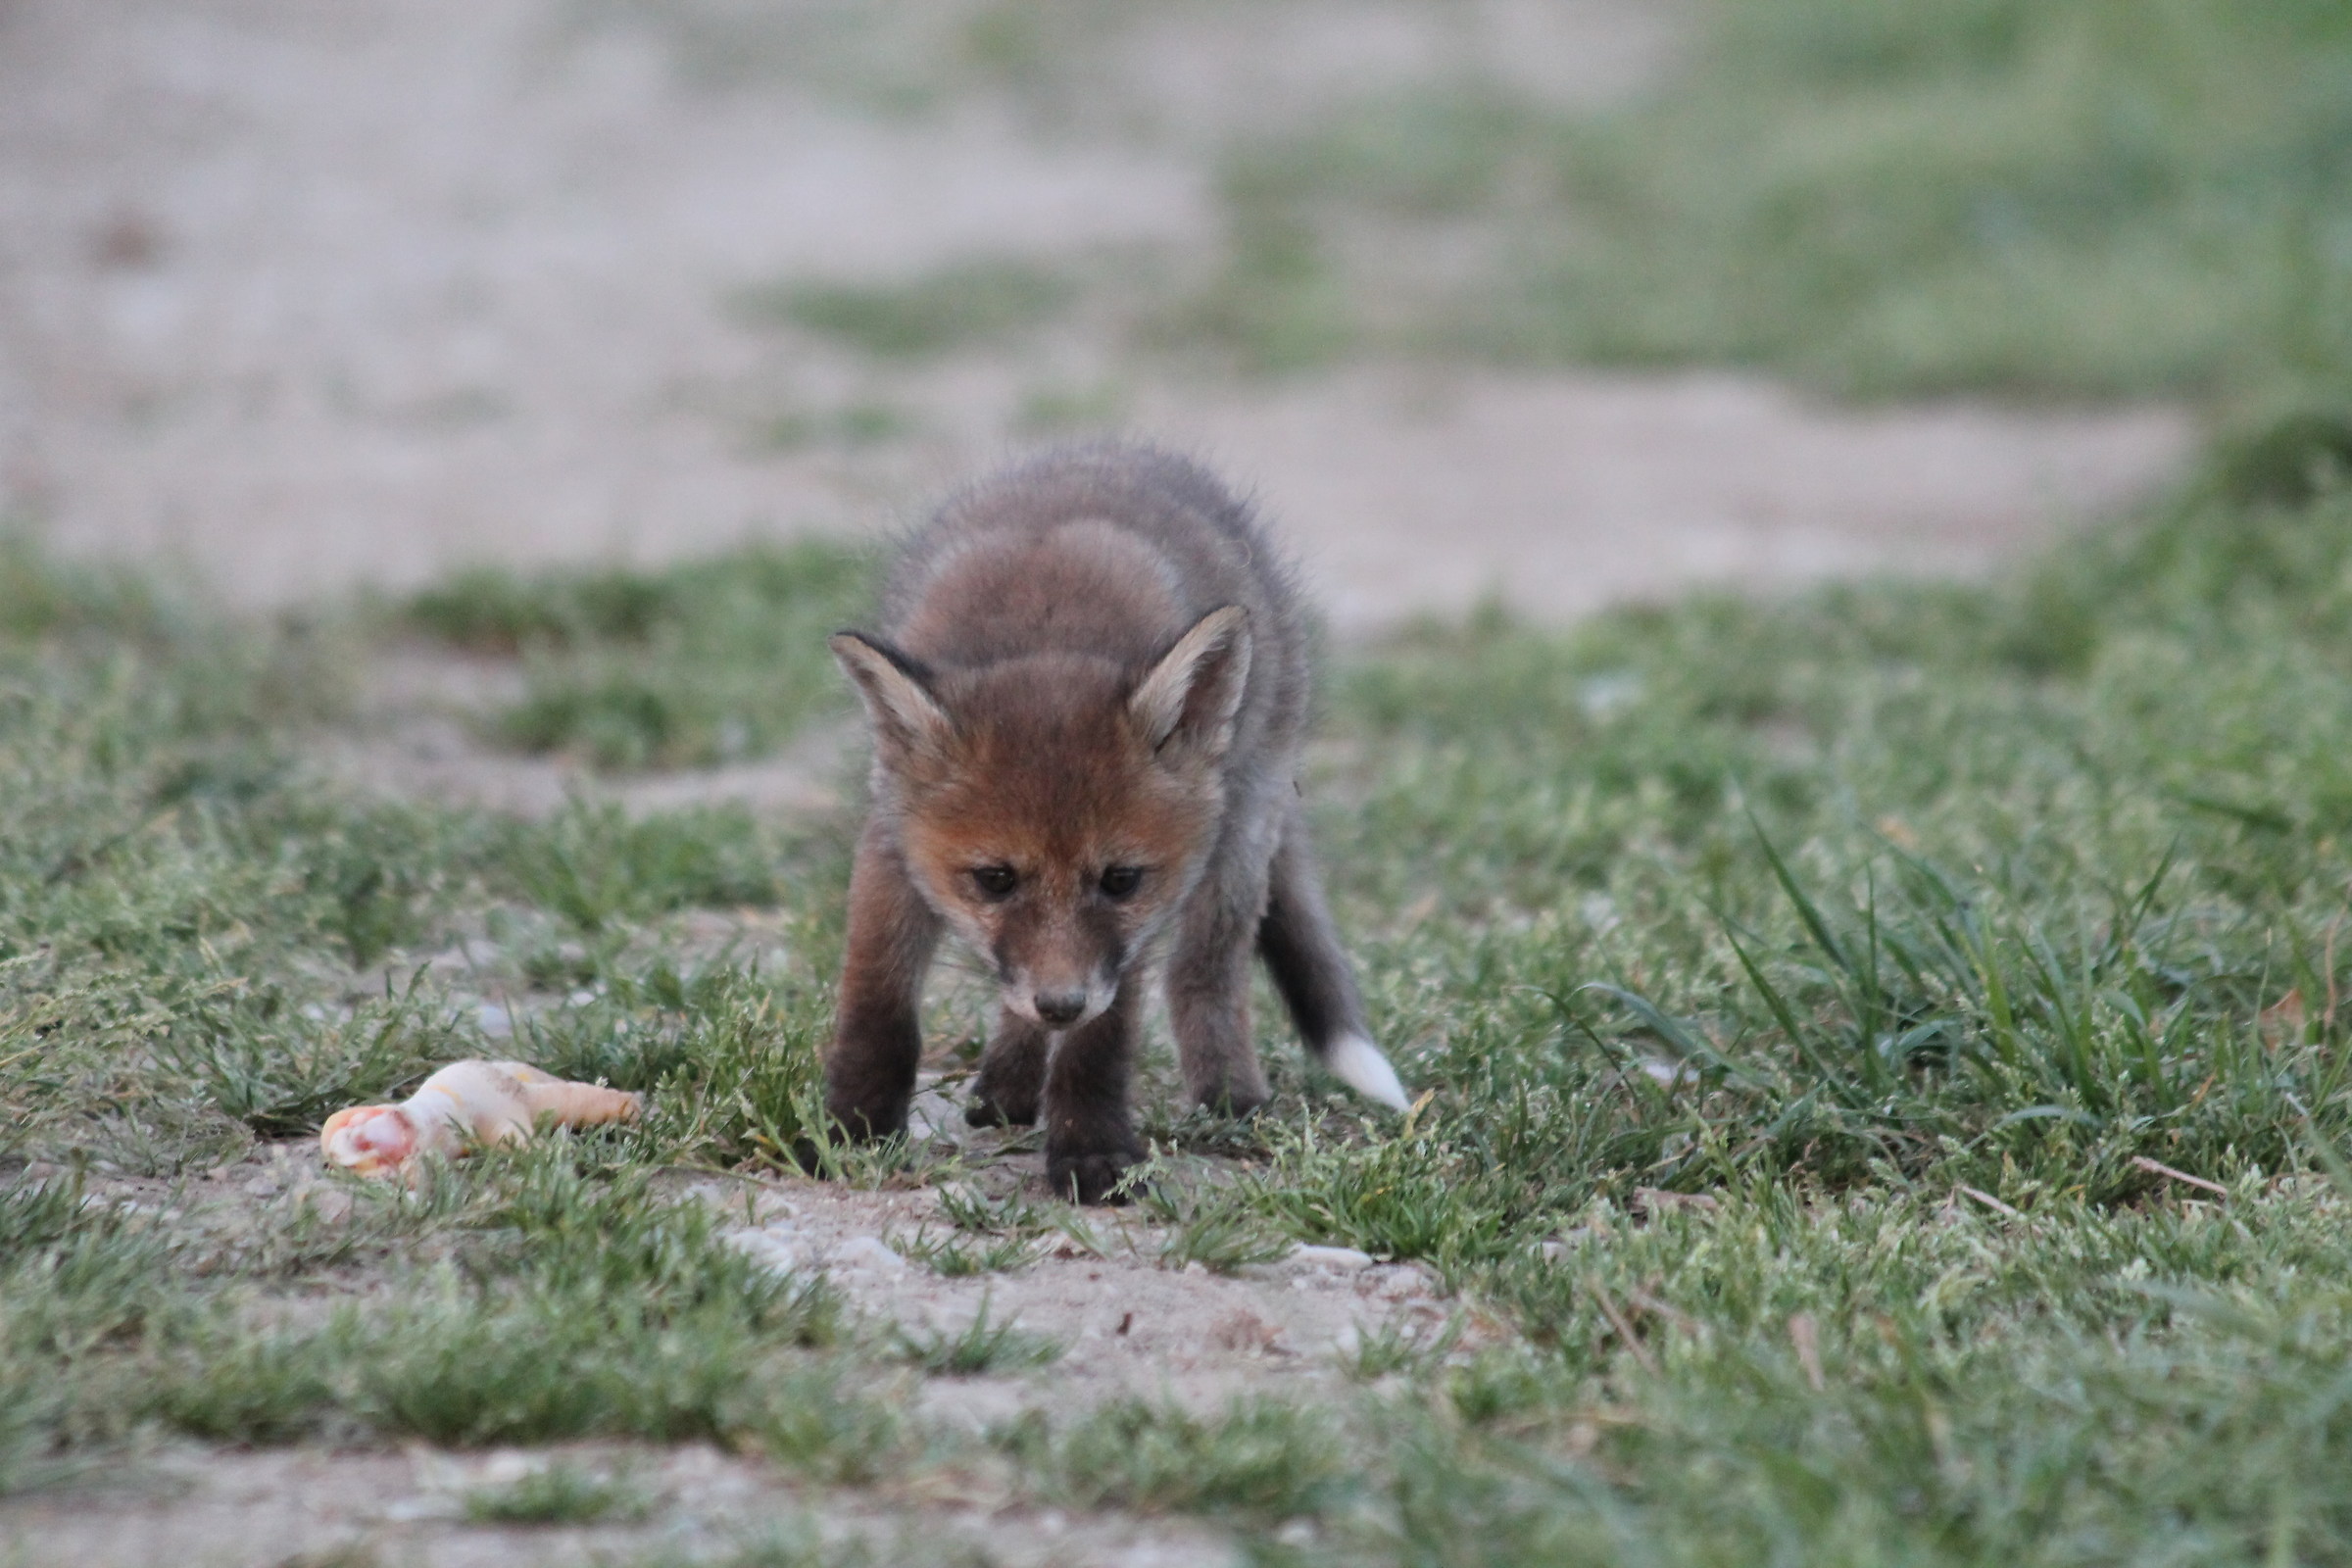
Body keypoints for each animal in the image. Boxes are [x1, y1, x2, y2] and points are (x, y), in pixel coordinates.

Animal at [821, 442, 1410, 1203]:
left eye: (1120, 880)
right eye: (994, 879)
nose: (1061, 1004)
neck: (1045, 624)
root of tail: (1111, 448)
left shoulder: (1129, 933)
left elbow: (1100, 1043)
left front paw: (1090, 1150)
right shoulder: (890, 841)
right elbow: (878, 1004)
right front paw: (850, 1130)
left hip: (1242, 831)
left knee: (1205, 975)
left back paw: (1229, 1099)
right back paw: (1009, 1087)